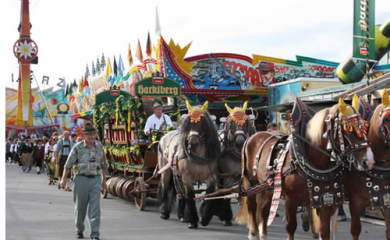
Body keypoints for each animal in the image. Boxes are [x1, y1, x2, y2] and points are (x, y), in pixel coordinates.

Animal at [157, 101, 221, 229]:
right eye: (188, 123)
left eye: (201, 122)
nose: (192, 143)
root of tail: (165, 136)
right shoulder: (187, 177)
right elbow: (190, 196)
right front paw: (192, 221)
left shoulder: (211, 178)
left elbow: (208, 195)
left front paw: (204, 218)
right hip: (166, 171)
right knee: (165, 188)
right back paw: (164, 211)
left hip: (178, 174)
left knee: (180, 193)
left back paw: (182, 215)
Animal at [235, 96, 374, 239]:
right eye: (348, 128)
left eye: (365, 127)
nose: (368, 161)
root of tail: (253, 136)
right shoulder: (291, 200)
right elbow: (291, 227)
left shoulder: (325, 200)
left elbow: (325, 231)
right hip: (249, 182)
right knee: (252, 206)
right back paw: (253, 233)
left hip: (268, 187)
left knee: (264, 209)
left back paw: (263, 234)